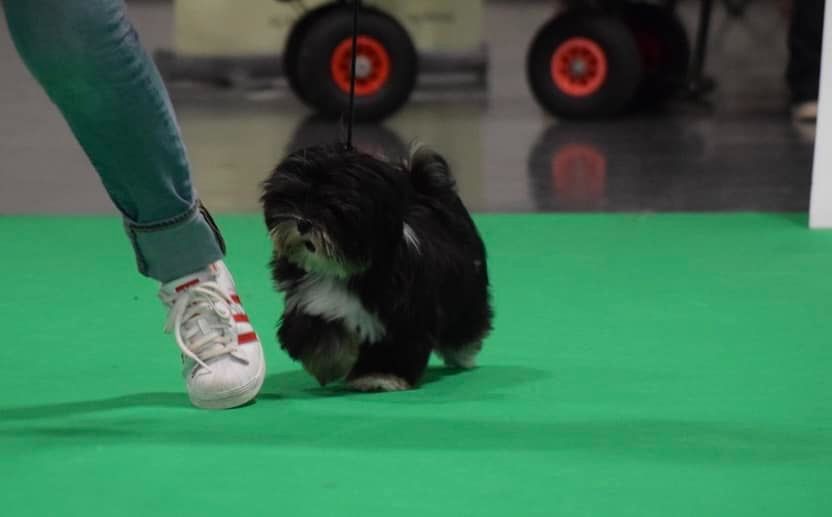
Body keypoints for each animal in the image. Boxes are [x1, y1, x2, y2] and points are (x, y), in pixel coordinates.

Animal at [262, 143, 494, 390]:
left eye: (332, 205)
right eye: (293, 196)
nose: (303, 223)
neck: (341, 270)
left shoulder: (403, 317)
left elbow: (393, 350)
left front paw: (379, 377)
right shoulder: (311, 303)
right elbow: (318, 333)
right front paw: (330, 364)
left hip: (464, 290)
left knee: (465, 322)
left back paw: (462, 354)